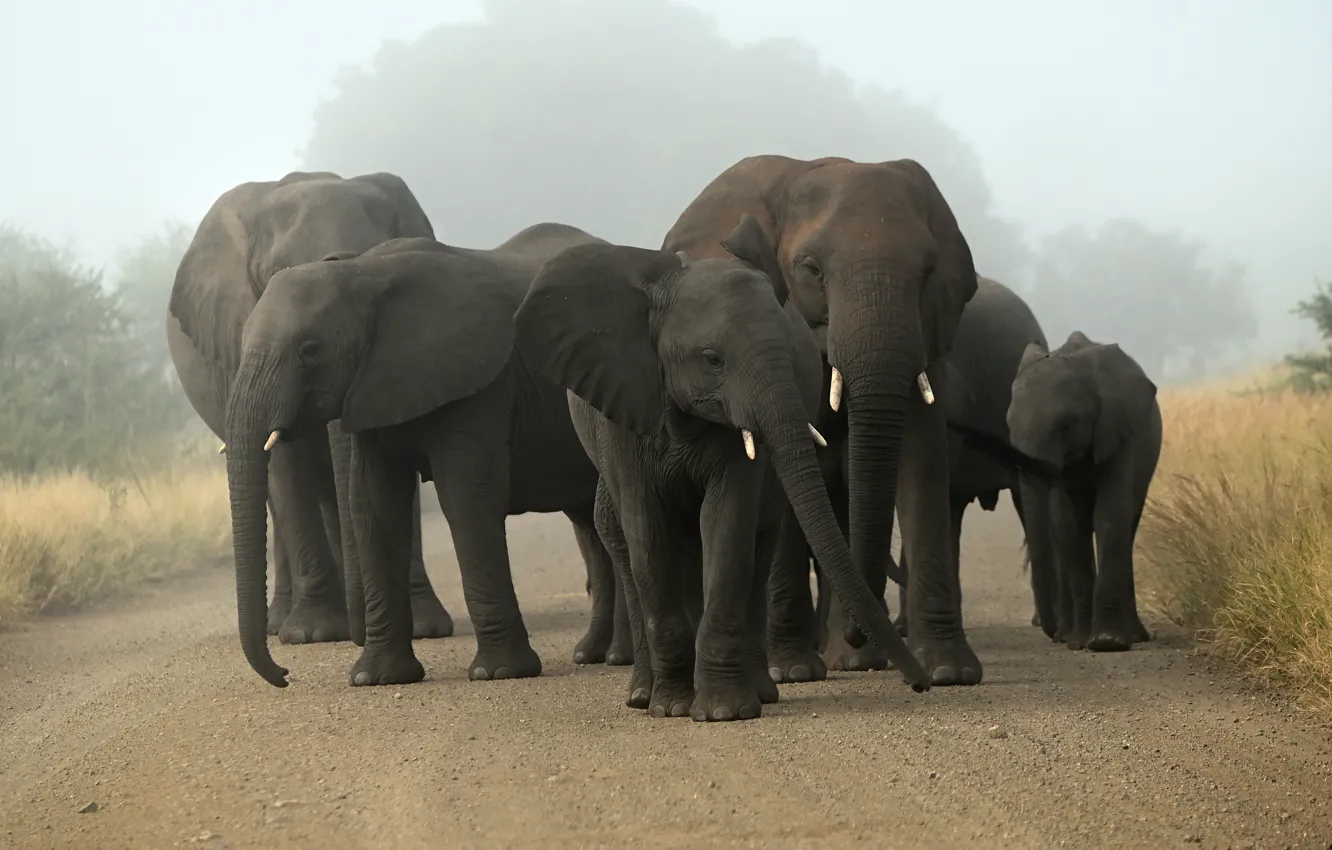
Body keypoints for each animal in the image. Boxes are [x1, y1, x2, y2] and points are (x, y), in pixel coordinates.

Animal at [167, 170, 453, 644]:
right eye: (274, 278)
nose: (360, 634)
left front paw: (424, 628)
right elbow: (286, 464)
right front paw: (313, 634)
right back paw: (285, 624)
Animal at [223, 224, 621, 688]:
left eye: (310, 350)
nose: (285, 674)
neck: (362, 272)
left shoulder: (478, 380)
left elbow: (465, 498)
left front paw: (498, 673)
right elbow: (374, 505)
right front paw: (375, 679)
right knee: (590, 525)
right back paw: (594, 654)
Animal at [513, 213, 930, 722]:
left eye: (791, 354)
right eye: (712, 359)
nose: (921, 685)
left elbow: (728, 525)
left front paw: (723, 712)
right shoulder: (625, 409)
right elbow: (646, 532)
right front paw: (672, 708)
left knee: (759, 540)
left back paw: (760, 692)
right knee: (628, 548)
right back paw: (642, 696)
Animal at [662, 155, 983, 686]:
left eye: (929, 271)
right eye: (811, 270)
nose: (857, 633)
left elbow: (923, 462)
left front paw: (950, 672)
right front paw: (792, 670)